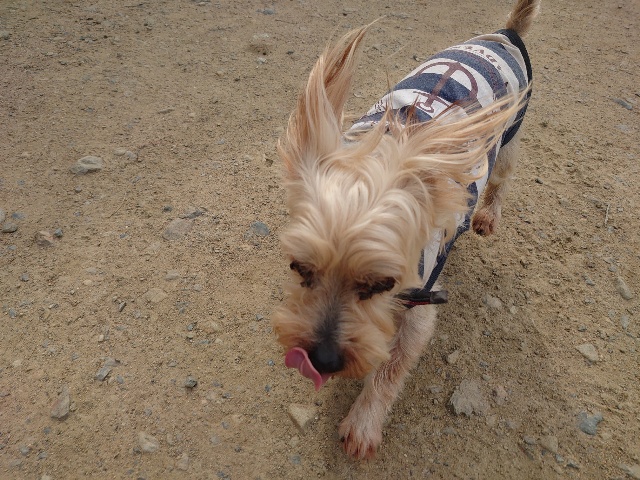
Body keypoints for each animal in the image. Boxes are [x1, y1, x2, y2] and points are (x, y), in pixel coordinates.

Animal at [274, 0, 540, 459]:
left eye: (382, 284)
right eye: (299, 268)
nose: (322, 360)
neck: (380, 150)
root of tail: (503, 33)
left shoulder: (420, 305)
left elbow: (391, 369)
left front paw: (363, 423)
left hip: (508, 141)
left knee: (502, 181)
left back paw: (487, 216)